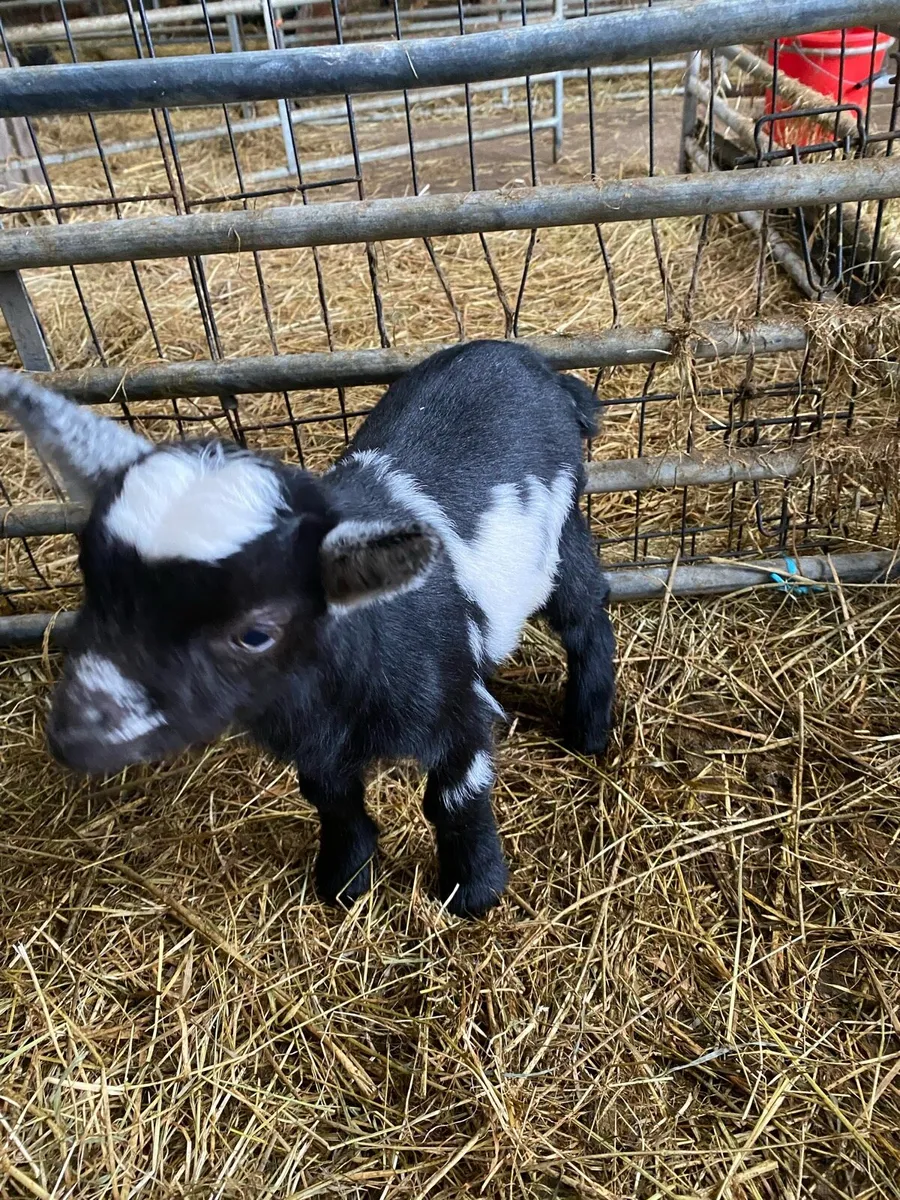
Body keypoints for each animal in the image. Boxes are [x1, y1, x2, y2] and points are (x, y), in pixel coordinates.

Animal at [0, 341, 615, 916]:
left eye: (255, 633)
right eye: (92, 579)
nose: (73, 735)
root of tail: (533, 364)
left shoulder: (455, 714)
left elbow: (455, 799)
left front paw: (475, 891)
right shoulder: (312, 742)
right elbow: (332, 800)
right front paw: (345, 881)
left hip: (562, 530)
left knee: (588, 616)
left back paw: (588, 730)